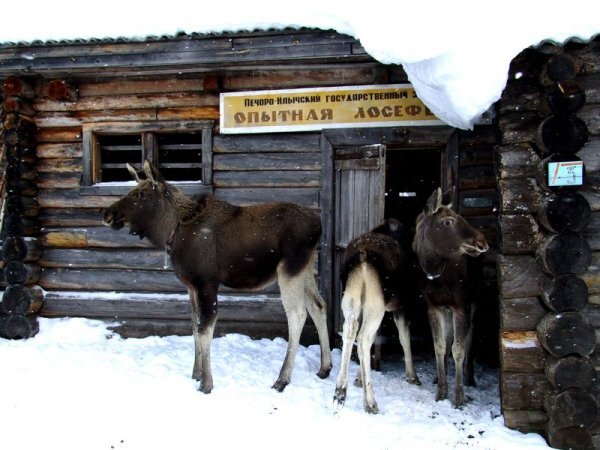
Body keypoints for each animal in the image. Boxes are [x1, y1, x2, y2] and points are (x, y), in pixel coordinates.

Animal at [105, 161, 336, 394]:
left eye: (141, 194)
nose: (108, 214)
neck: (171, 232)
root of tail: (318, 225)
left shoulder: (206, 282)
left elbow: (205, 328)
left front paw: (206, 383)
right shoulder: (190, 285)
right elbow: (194, 325)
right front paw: (196, 373)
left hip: (289, 268)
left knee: (297, 314)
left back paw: (282, 379)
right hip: (305, 268)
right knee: (319, 305)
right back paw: (325, 367)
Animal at [330, 219, 420, 414]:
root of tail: (362, 256)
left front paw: (358, 379)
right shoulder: (401, 306)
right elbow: (404, 338)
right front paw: (412, 376)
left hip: (352, 297)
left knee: (350, 330)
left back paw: (340, 393)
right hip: (375, 302)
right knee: (363, 338)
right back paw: (370, 402)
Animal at [414, 187, 490, 408]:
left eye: (461, 217)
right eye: (446, 221)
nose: (482, 242)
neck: (435, 272)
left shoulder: (462, 305)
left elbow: (459, 349)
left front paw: (458, 396)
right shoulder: (433, 307)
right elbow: (440, 345)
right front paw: (441, 391)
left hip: (475, 301)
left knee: (471, 338)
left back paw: (470, 378)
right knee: (448, 341)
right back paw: (439, 377)